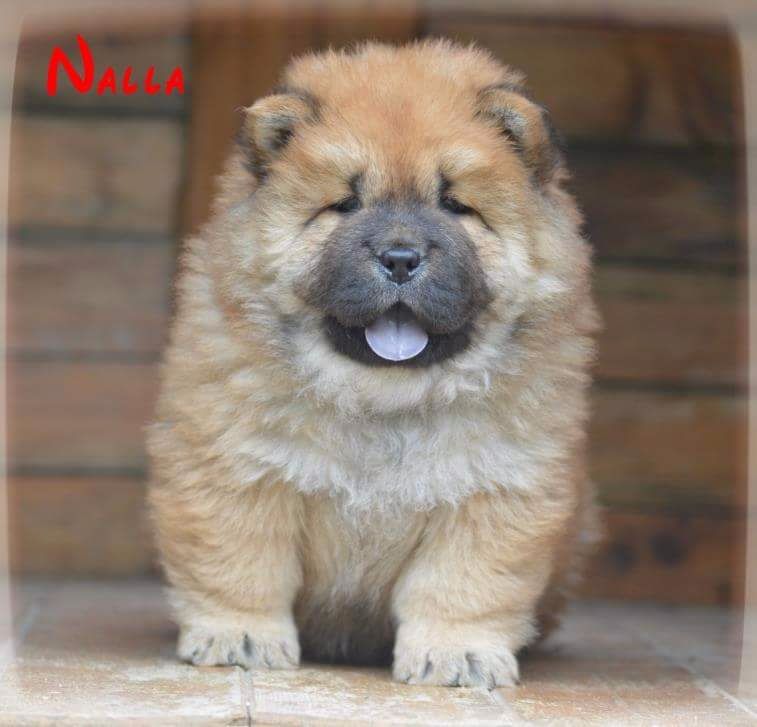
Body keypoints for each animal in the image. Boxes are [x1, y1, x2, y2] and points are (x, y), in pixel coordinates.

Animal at [148, 39, 599, 688]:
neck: (385, 399)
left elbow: (465, 582)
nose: (401, 257)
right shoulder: (233, 467)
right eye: (345, 204)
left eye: (455, 205)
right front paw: (240, 636)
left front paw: (457, 654)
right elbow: (240, 562)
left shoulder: (499, 484)